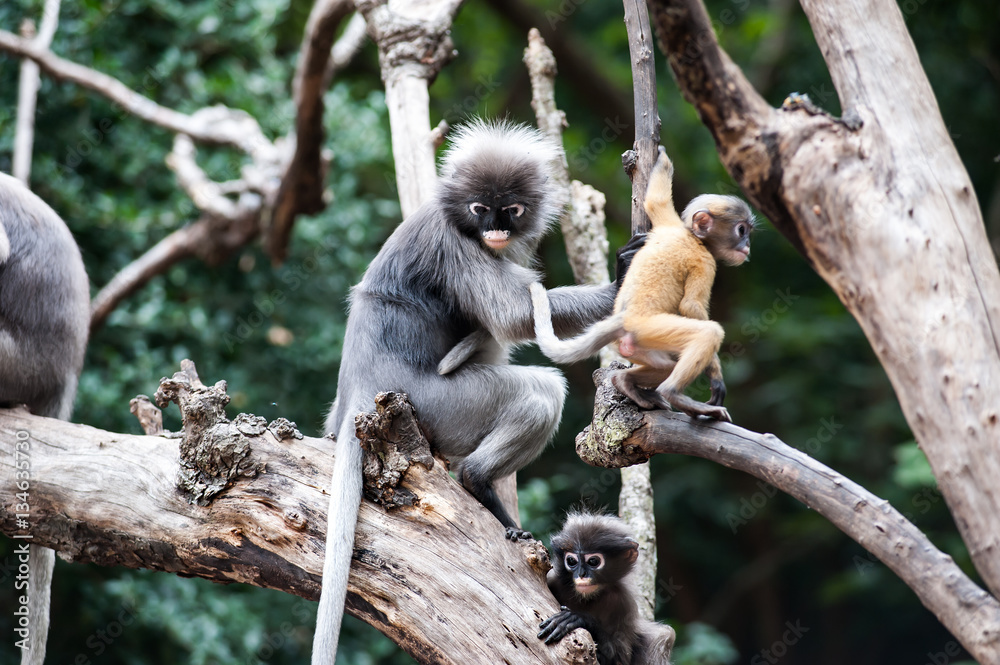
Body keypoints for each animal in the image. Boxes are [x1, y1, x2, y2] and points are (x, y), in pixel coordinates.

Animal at [312, 120, 640, 665]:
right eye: (479, 208)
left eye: (512, 210)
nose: (496, 231)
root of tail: (359, 394)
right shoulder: (454, 242)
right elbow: (514, 317)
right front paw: (622, 280)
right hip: (441, 406)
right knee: (541, 389)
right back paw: (478, 481)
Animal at [528, 146, 755, 422]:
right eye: (741, 230)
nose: (747, 246)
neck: (691, 236)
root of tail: (623, 319)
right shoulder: (704, 262)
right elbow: (691, 306)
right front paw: (716, 379)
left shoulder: (669, 223)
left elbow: (655, 201)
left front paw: (662, 157)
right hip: (650, 329)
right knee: (707, 332)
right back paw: (674, 394)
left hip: (641, 344)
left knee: (665, 364)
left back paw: (624, 382)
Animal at [538, 512, 675, 664]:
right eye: (571, 561)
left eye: (593, 561)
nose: (581, 574)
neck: (586, 598)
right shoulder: (553, 579)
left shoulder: (623, 602)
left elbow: (620, 659)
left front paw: (581, 619)